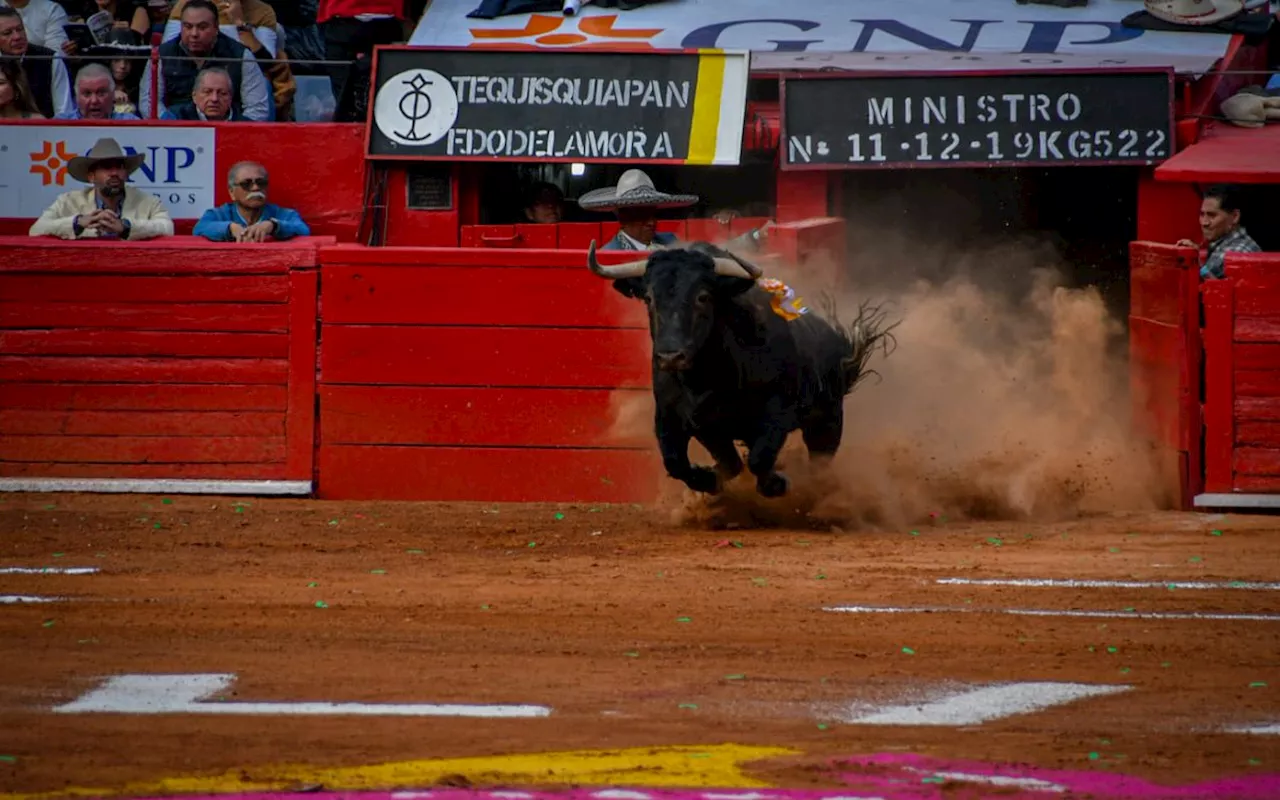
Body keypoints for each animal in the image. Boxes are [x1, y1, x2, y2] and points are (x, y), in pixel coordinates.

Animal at [586, 238, 896, 499]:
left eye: (703, 297)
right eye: (649, 298)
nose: (671, 356)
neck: (706, 376)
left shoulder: (777, 411)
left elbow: (759, 458)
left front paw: (778, 483)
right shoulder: (678, 418)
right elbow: (679, 462)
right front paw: (709, 479)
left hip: (828, 419)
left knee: (820, 461)